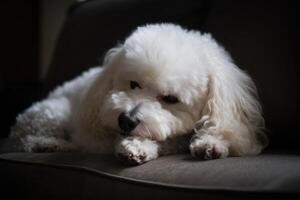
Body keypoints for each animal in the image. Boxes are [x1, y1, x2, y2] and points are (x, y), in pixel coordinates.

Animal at [5, 23, 268, 164]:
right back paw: (50, 144)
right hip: (52, 112)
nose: (126, 120)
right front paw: (137, 147)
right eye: (133, 84)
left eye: (171, 99)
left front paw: (212, 142)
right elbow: (164, 140)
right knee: (25, 139)